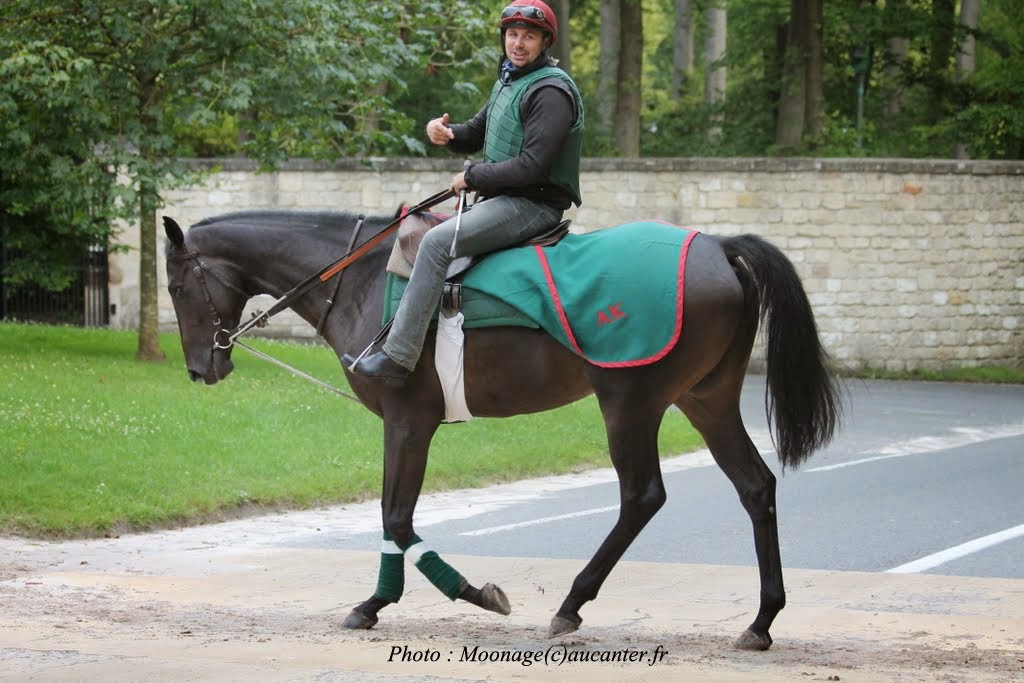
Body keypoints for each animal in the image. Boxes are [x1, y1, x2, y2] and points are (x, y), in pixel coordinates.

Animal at [163, 204, 839, 651]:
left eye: (174, 285)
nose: (200, 368)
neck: (362, 278)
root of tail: (717, 248)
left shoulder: (408, 422)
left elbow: (396, 517)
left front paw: (432, 596)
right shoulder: (406, 426)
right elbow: (394, 517)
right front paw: (387, 602)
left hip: (630, 402)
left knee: (642, 496)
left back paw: (572, 605)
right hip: (706, 401)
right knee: (755, 487)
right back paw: (761, 620)